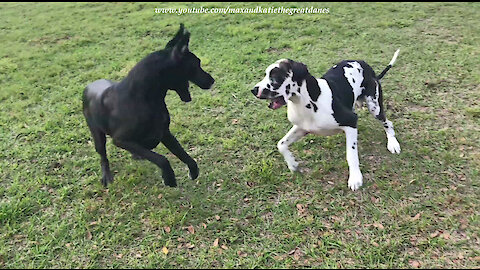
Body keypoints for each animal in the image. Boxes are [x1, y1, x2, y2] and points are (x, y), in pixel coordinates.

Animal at [83, 24, 215, 187]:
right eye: (197, 64)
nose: (212, 80)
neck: (145, 98)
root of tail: (88, 86)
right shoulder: (120, 139)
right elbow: (161, 159)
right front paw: (169, 178)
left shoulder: (164, 133)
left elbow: (182, 153)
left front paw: (193, 171)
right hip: (97, 135)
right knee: (103, 156)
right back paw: (106, 175)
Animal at [251, 49, 402, 191]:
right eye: (266, 75)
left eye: (275, 78)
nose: (254, 90)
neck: (309, 100)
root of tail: (365, 64)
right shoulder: (302, 128)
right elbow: (281, 144)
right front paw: (292, 164)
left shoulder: (351, 122)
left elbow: (351, 154)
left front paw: (355, 178)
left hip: (375, 107)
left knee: (388, 123)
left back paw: (393, 143)